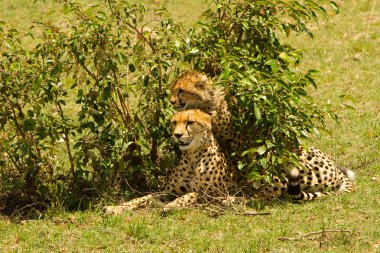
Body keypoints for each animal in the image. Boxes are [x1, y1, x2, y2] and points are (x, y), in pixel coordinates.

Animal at [104, 108, 238, 213]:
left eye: (190, 122)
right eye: (174, 122)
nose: (177, 135)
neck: (192, 156)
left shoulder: (213, 194)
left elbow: (190, 195)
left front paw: (171, 205)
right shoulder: (169, 191)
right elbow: (143, 197)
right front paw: (115, 208)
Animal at [168, 70, 354, 201]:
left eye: (181, 91)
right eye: (173, 90)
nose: (171, 101)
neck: (205, 104)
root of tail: (335, 169)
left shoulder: (236, 142)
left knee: (271, 192)